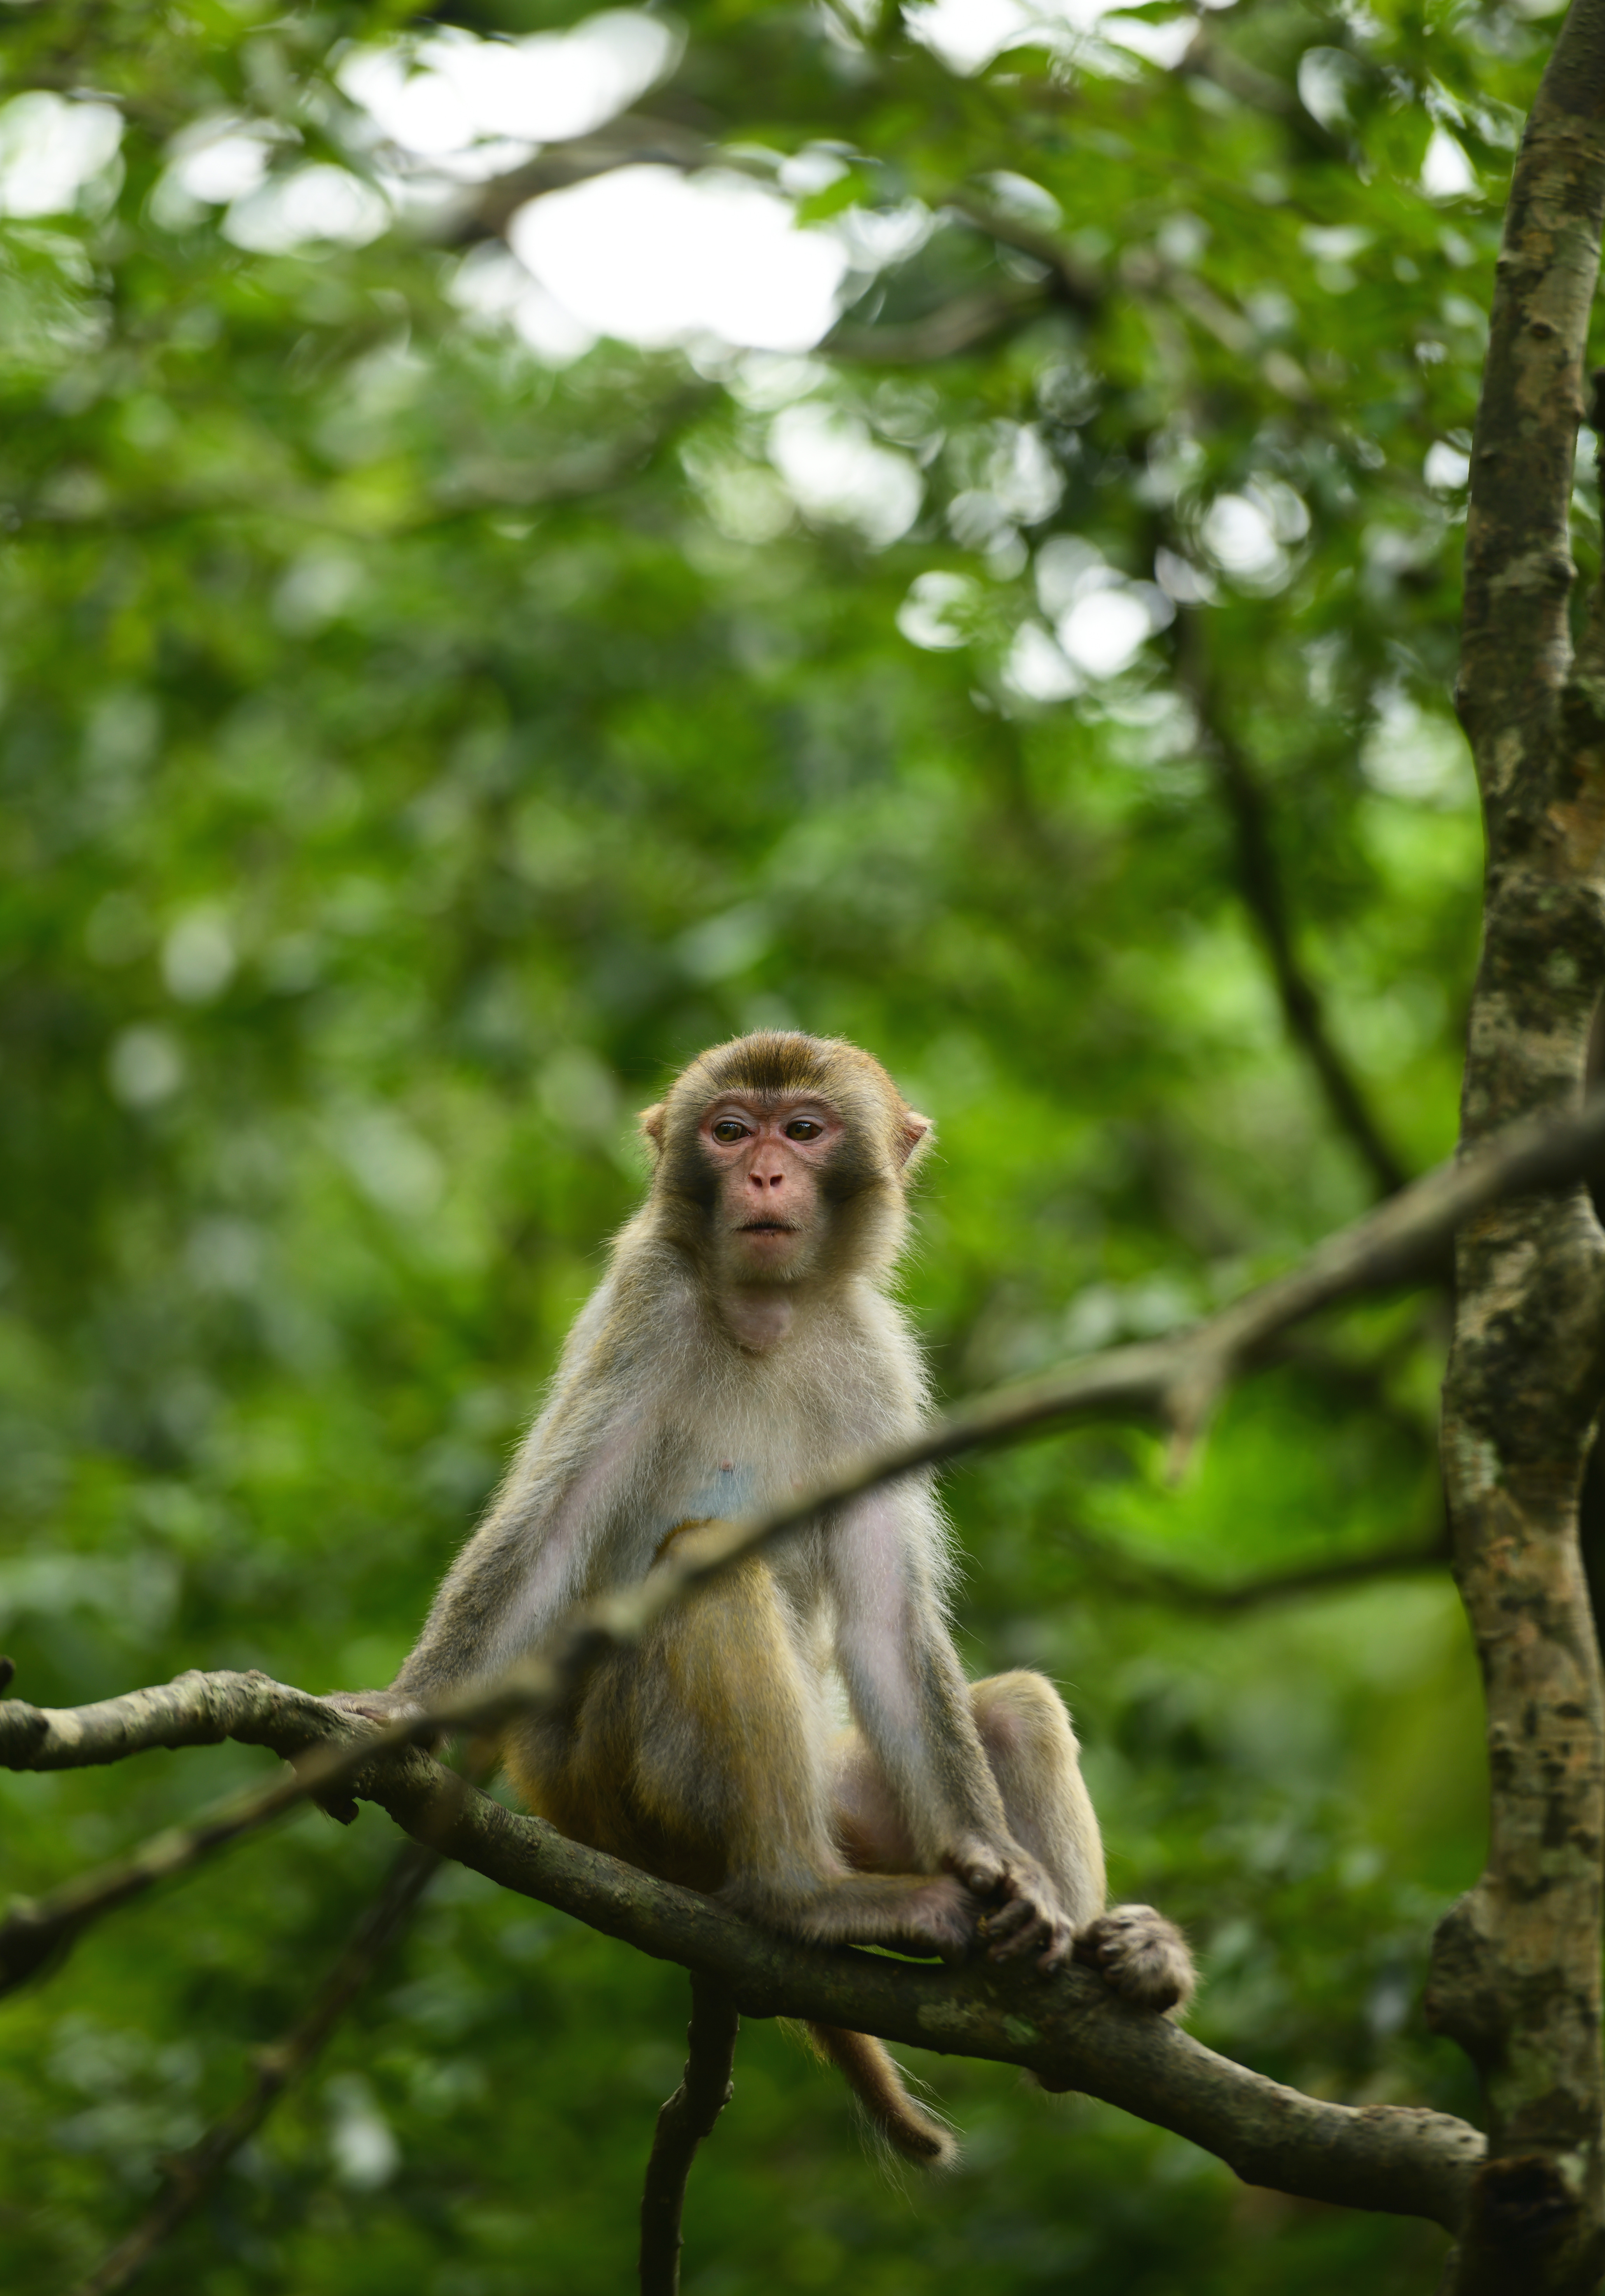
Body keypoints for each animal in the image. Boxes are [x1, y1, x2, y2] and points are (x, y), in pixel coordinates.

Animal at [340, 1033, 1194, 2158]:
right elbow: (551, 1534)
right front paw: (400, 1709)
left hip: (853, 1792)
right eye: (730, 1129)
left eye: (804, 1130)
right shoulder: (645, 1300)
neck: (766, 1314)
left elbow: (884, 1619)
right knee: (708, 1569)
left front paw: (998, 1859)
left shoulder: (874, 1356)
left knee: (1013, 1707)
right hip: (638, 1787)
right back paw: (804, 1898)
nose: (764, 1175)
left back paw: (1114, 1972)